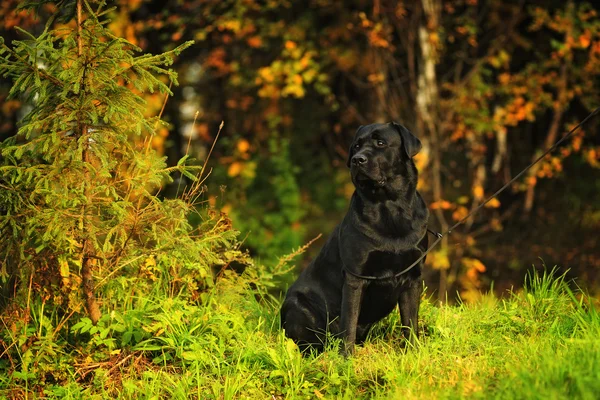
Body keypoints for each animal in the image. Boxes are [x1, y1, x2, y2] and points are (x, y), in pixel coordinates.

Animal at [278, 122, 428, 356]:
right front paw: (346, 357)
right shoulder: (355, 277)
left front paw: (413, 352)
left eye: (380, 143)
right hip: (298, 306)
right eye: (356, 146)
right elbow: (349, 321)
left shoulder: (413, 276)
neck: (389, 207)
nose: (358, 159)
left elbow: (410, 321)